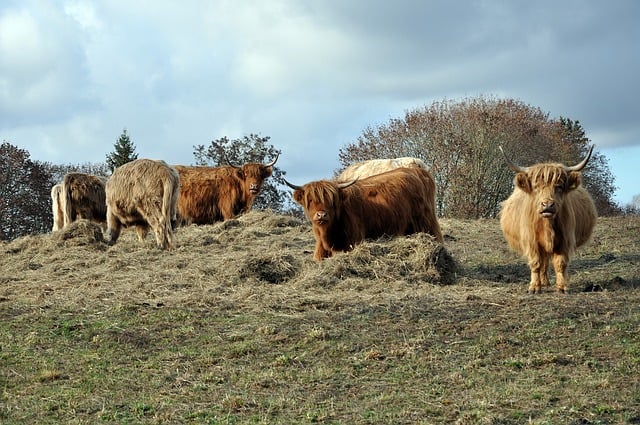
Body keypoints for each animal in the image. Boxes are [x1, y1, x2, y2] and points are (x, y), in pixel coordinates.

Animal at [285, 167, 444, 260]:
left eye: (332, 200)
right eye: (310, 200)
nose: (322, 215)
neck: (328, 235)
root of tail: (417, 170)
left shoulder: (353, 241)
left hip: (425, 222)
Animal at [499, 145, 597, 294]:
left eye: (559, 186)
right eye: (536, 187)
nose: (547, 205)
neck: (547, 225)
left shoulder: (565, 240)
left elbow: (560, 263)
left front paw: (562, 287)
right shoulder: (531, 241)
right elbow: (536, 263)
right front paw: (534, 287)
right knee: (543, 261)